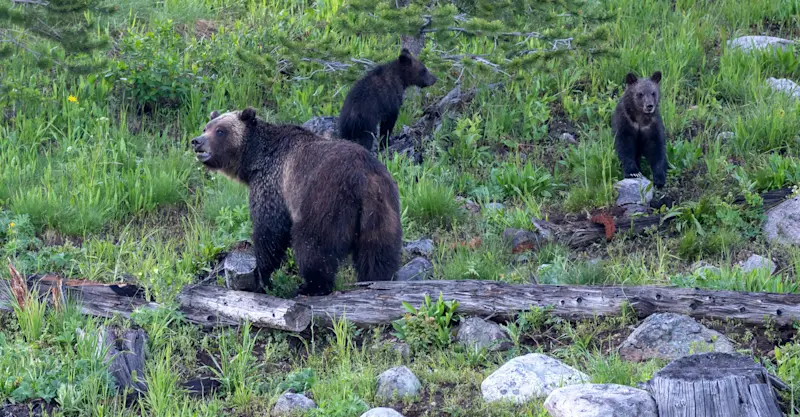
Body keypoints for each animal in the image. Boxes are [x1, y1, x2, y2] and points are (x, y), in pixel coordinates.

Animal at [191, 107, 403, 296]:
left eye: (220, 131)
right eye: (206, 127)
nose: (196, 141)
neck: (254, 161)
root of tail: (363, 177)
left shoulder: (273, 183)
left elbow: (270, 229)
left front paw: (262, 273)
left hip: (325, 200)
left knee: (312, 245)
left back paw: (310, 287)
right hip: (382, 207)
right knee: (378, 253)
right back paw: (375, 280)